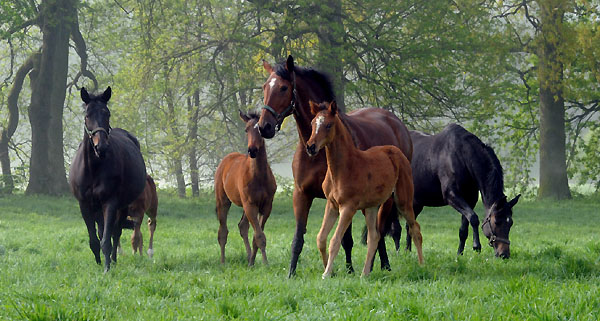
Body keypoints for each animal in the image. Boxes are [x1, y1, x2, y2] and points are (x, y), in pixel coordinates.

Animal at [68, 86, 146, 272]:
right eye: (87, 115)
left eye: (107, 114)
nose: (101, 146)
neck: (93, 168)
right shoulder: (84, 205)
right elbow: (94, 239)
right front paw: (98, 263)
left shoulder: (110, 202)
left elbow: (106, 239)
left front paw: (106, 268)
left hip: (123, 205)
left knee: (115, 233)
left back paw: (114, 260)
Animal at [214, 110, 278, 264]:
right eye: (246, 130)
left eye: (260, 130)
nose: (252, 150)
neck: (258, 176)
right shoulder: (250, 204)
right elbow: (259, 236)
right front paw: (265, 264)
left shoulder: (266, 206)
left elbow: (257, 235)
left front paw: (255, 263)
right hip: (223, 201)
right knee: (223, 231)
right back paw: (223, 261)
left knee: (242, 226)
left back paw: (249, 258)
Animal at [255, 54, 410, 276]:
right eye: (265, 86)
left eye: (284, 88)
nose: (264, 127)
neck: (318, 154)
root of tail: (395, 123)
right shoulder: (302, 195)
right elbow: (298, 238)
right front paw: (291, 273)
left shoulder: (345, 200)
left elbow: (346, 239)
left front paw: (349, 270)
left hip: (386, 199)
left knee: (379, 231)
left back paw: (382, 266)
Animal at [308, 101, 424, 276]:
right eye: (313, 123)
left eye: (328, 125)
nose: (310, 147)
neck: (342, 168)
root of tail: (397, 151)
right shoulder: (332, 205)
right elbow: (321, 238)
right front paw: (330, 270)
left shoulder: (348, 207)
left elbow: (335, 240)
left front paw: (326, 274)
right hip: (371, 207)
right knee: (374, 237)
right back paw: (365, 274)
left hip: (403, 201)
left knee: (415, 229)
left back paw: (422, 265)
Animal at [404, 122, 520, 258]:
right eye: (496, 222)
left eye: (510, 223)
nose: (504, 254)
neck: (462, 156)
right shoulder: (452, 196)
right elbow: (474, 218)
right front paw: (476, 246)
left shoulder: (470, 199)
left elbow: (463, 229)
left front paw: (460, 254)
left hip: (417, 203)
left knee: (409, 225)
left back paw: (408, 251)